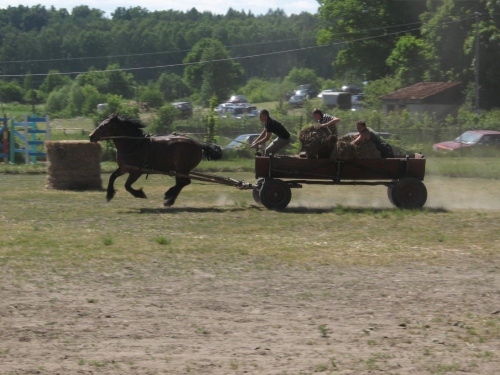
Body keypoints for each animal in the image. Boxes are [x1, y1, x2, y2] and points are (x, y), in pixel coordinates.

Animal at [89, 114, 222, 209]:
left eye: (105, 125)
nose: (91, 136)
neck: (132, 144)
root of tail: (198, 144)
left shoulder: (136, 171)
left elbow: (127, 186)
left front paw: (140, 194)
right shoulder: (124, 168)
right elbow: (112, 177)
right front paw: (109, 194)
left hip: (182, 169)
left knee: (184, 182)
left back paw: (168, 195)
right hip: (180, 170)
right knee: (183, 183)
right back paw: (169, 200)